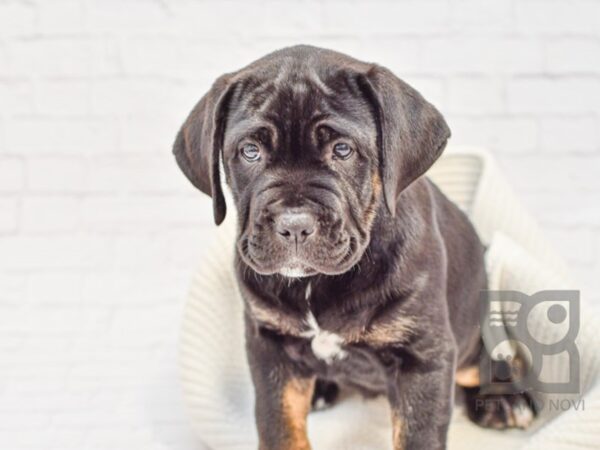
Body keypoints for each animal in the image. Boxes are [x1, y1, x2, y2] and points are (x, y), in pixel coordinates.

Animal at [173, 46, 536, 450]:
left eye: (342, 149)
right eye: (250, 151)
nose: (293, 225)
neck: (315, 284)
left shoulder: (423, 356)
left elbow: (417, 434)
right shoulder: (270, 347)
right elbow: (279, 425)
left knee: (485, 356)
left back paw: (503, 399)